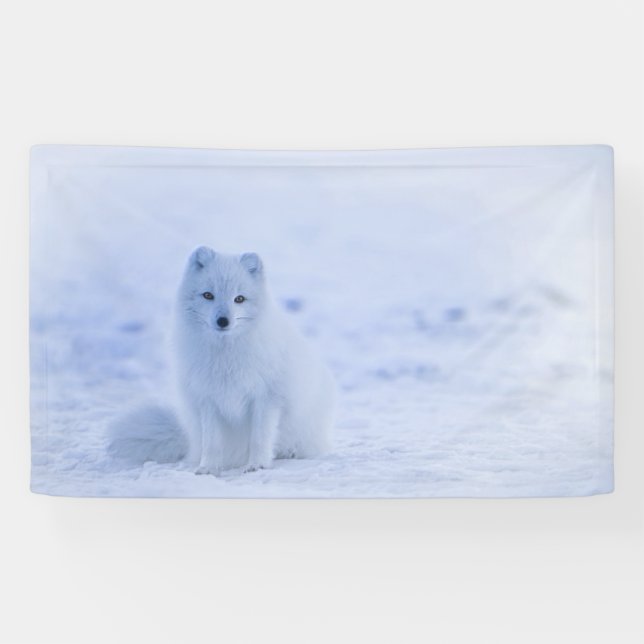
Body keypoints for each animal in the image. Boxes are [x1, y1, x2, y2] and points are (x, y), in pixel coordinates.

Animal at [107, 246, 336, 475]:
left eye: (239, 299)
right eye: (208, 295)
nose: (223, 321)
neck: (225, 356)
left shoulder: (267, 398)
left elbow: (260, 438)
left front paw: (257, 465)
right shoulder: (208, 399)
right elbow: (212, 442)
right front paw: (208, 468)